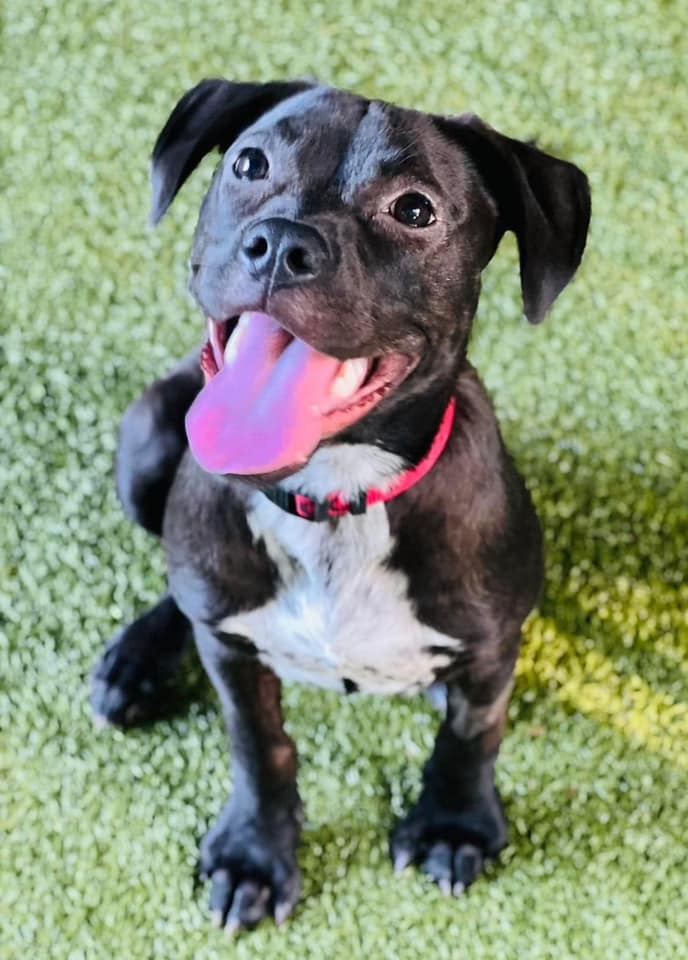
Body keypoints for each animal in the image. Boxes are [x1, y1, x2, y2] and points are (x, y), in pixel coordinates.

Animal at [88, 79, 588, 932]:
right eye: (250, 164)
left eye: (415, 209)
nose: (281, 243)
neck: (336, 499)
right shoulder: (234, 655)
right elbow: (259, 746)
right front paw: (256, 854)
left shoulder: (493, 643)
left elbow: (472, 735)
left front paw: (454, 826)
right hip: (151, 434)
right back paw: (139, 659)